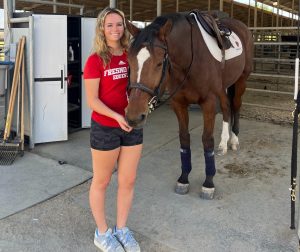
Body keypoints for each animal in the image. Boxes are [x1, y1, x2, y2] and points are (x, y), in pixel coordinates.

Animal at [124, 10, 253, 199]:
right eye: (130, 61)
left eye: (159, 63)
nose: (134, 116)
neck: (190, 58)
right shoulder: (179, 103)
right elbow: (184, 139)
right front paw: (184, 178)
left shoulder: (208, 103)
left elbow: (207, 140)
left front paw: (208, 183)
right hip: (223, 87)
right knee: (226, 108)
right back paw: (223, 143)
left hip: (241, 81)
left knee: (235, 106)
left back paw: (234, 140)